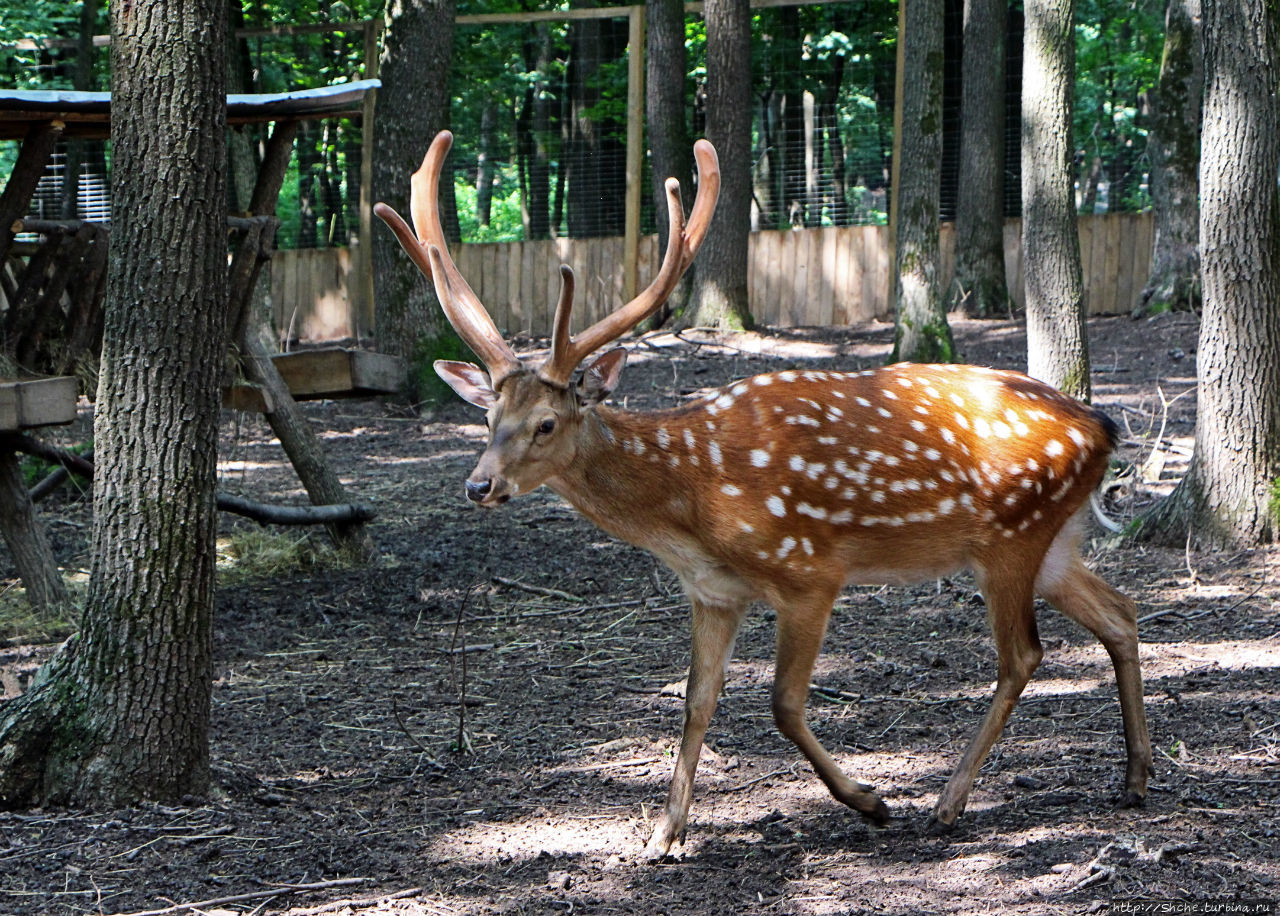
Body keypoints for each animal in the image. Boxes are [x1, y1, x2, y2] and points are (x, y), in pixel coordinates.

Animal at [373, 132, 1157, 864]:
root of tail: (1104, 426)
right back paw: (1135, 778)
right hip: (1052, 542)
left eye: (546, 422)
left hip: (1009, 538)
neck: (693, 509)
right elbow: (696, 702)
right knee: (1120, 613)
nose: (479, 485)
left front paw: (870, 801)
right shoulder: (714, 592)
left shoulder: (810, 572)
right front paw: (663, 834)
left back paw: (948, 801)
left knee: (1023, 655)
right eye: (486, 417)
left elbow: (781, 703)